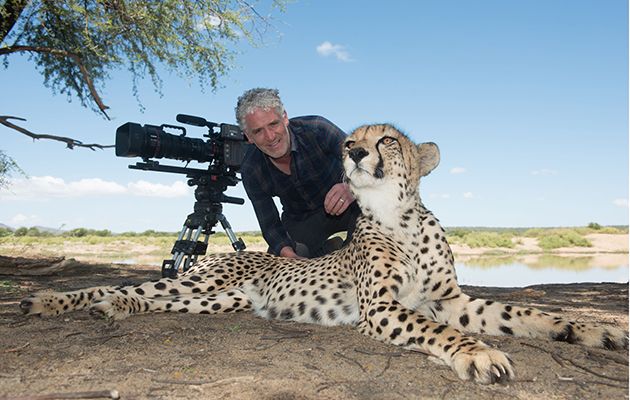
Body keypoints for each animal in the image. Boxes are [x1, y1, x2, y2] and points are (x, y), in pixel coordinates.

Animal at [18, 124, 628, 384]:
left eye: (386, 140)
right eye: (350, 138)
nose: (353, 151)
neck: (399, 217)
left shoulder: (452, 299)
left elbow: (523, 312)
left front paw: (592, 329)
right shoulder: (382, 309)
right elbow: (440, 332)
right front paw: (476, 355)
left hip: (220, 302)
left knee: (146, 300)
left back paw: (112, 311)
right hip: (195, 282)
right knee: (122, 285)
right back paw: (51, 303)